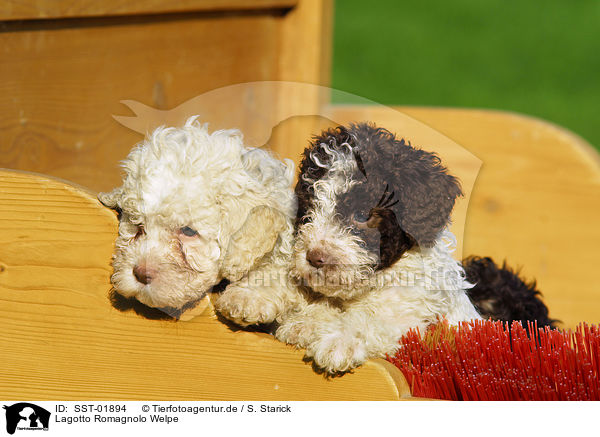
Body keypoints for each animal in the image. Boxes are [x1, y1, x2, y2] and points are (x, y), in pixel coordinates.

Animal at [274, 122, 480, 372]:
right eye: (309, 210)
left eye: (362, 215)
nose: (314, 257)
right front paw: (307, 323)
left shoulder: (408, 312)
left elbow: (371, 320)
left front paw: (338, 341)